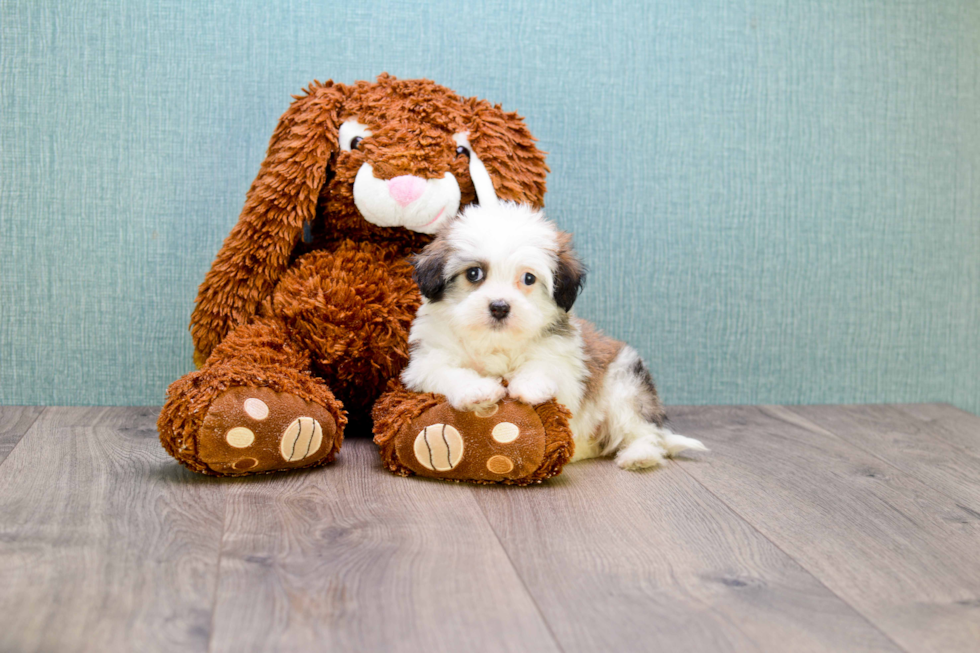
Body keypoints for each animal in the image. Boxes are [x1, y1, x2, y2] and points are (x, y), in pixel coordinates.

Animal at [402, 200, 708, 468]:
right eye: (474, 273)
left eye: (528, 278)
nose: (500, 307)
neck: (497, 342)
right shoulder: (427, 360)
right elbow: (447, 372)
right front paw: (476, 389)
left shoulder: (567, 358)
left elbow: (549, 365)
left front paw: (530, 385)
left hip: (625, 387)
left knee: (644, 432)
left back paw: (639, 456)